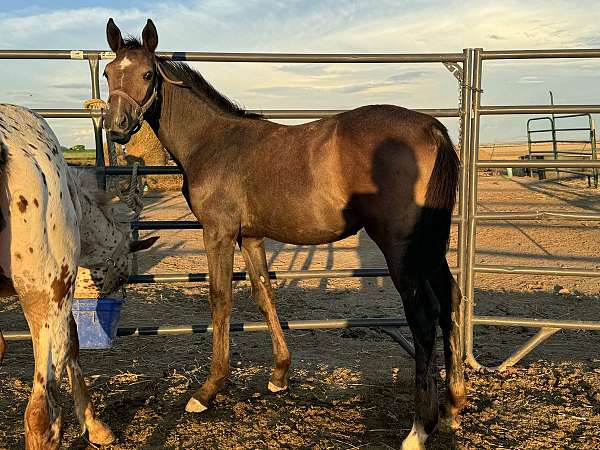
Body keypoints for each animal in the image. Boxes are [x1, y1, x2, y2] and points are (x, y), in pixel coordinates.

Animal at [0, 103, 157, 448]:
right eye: (122, 275)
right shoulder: (56, 289)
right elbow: (73, 342)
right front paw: (95, 425)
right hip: (46, 297)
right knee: (41, 414)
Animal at [103, 18, 466, 450]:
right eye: (108, 73)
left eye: (146, 74)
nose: (116, 128)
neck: (213, 142)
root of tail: (433, 128)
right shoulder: (251, 237)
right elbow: (264, 294)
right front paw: (279, 374)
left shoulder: (218, 233)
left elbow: (221, 300)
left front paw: (207, 390)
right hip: (429, 247)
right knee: (451, 301)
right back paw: (453, 406)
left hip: (401, 250)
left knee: (424, 317)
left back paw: (418, 429)